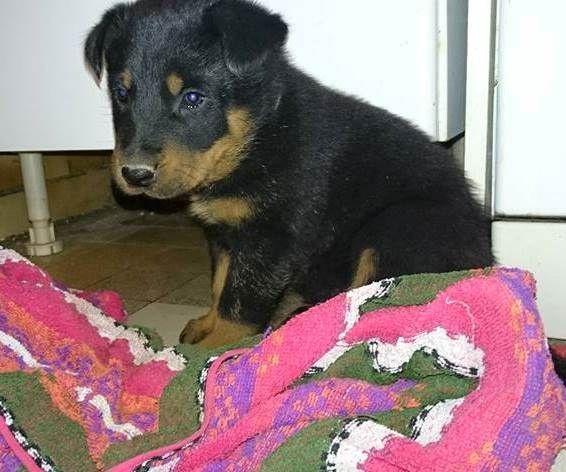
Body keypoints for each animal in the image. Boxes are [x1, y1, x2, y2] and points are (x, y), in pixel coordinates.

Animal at [85, 0, 494, 348]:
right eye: (121, 93)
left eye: (193, 98)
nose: (134, 174)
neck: (258, 138)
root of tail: (488, 259)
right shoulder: (225, 233)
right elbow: (220, 284)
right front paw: (206, 324)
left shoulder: (272, 237)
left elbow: (239, 303)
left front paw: (216, 350)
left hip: (400, 225)